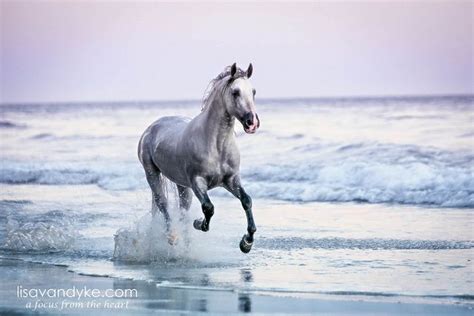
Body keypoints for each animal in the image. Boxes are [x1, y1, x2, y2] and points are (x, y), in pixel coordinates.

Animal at [139, 63, 260, 253]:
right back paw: (172, 236)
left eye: (253, 92)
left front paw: (246, 243)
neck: (216, 145)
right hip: (152, 174)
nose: (252, 122)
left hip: (181, 185)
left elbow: (246, 201)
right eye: (235, 92)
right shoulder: (197, 182)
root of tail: (151, 128)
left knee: (182, 211)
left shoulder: (231, 180)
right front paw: (199, 223)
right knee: (162, 204)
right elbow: (208, 208)